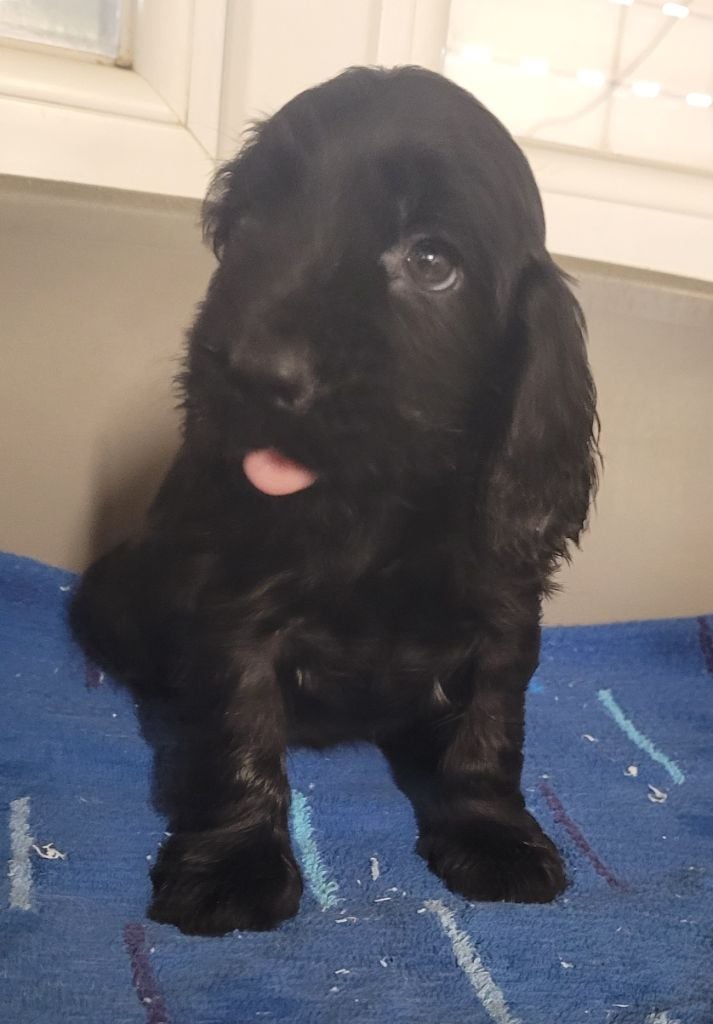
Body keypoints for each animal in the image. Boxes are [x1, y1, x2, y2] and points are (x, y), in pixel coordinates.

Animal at [70, 65, 599, 936]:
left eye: (431, 260)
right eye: (252, 219)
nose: (251, 372)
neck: (377, 512)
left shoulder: (504, 612)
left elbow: (488, 731)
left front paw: (494, 834)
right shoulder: (234, 607)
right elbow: (239, 725)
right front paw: (234, 863)